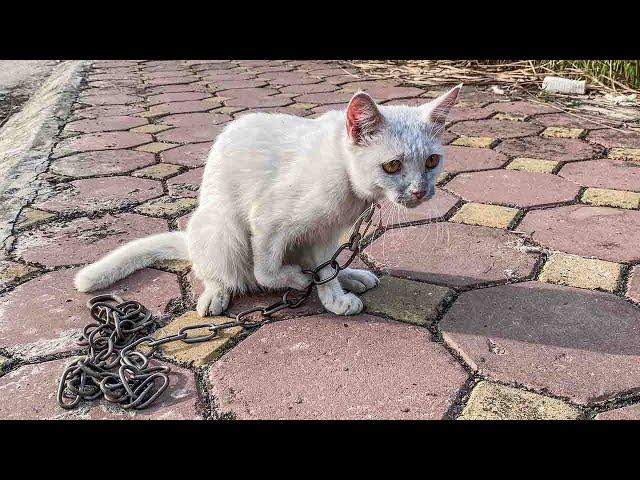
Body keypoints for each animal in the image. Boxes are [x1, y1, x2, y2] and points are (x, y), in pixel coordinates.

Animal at [75, 84, 462, 316]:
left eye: (432, 161)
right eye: (392, 165)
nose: (420, 191)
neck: (344, 174)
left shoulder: (324, 233)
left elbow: (326, 269)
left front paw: (334, 296)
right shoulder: (267, 220)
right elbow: (267, 270)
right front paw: (298, 281)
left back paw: (350, 274)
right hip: (222, 227)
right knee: (222, 271)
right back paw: (216, 295)